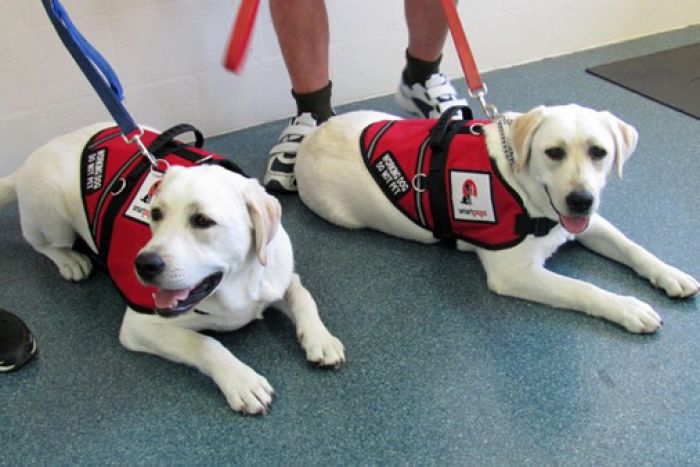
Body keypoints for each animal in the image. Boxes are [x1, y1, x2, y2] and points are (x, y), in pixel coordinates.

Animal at [0, 122, 344, 414]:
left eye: (202, 220)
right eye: (155, 213)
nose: (143, 264)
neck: (236, 288)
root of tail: (33, 156)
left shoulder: (280, 277)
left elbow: (303, 297)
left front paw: (320, 339)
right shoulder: (139, 326)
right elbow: (205, 343)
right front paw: (241, 380)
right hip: (51, 214)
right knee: (42, 244)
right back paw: (71, 260)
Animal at [292, 105, 696, 332]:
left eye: (599, 152)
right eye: (553, 152)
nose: (581, 200)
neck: (527, 193)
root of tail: (312, 134)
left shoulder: (587, 223)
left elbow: (633, 248)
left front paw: (670, 273)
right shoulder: (514, 272)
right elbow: (583, 288)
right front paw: (627, 307)